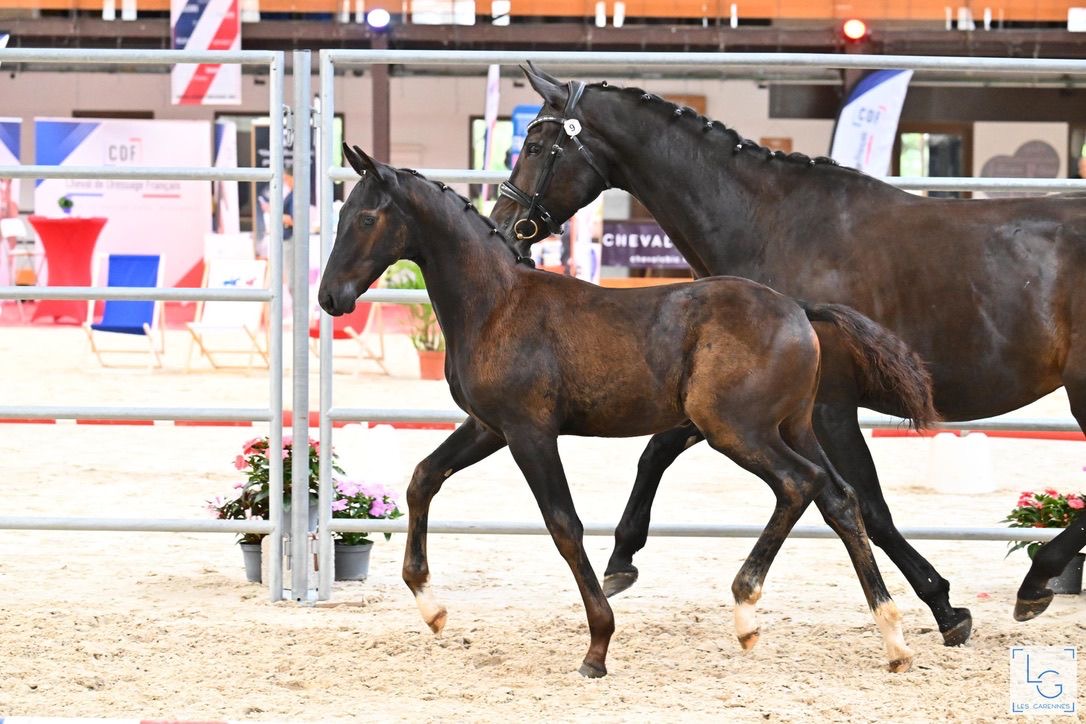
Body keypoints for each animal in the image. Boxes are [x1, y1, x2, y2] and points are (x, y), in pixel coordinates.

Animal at [319, 143, 939, 677]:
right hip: (793, 426)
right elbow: (424, 478)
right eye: (343, 211)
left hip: (736, 430)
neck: (496, 304)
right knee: (841, 500)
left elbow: (564, 525)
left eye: (367, 218)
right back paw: (894, 639)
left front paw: (597, 647)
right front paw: (432, 608)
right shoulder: (488, 426)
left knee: (799, 484)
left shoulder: (529, 432)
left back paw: (746, 613)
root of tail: (800, 310)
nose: (330, 298)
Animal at [490, 65, 1086, 629]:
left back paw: (1039, 580)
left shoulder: (826, 408)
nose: (504, 228)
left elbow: (865, 504)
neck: (772, 226)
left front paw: (943, 605)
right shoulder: (732, 401)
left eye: (536, 146)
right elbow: (658, 450)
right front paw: (621, 559)